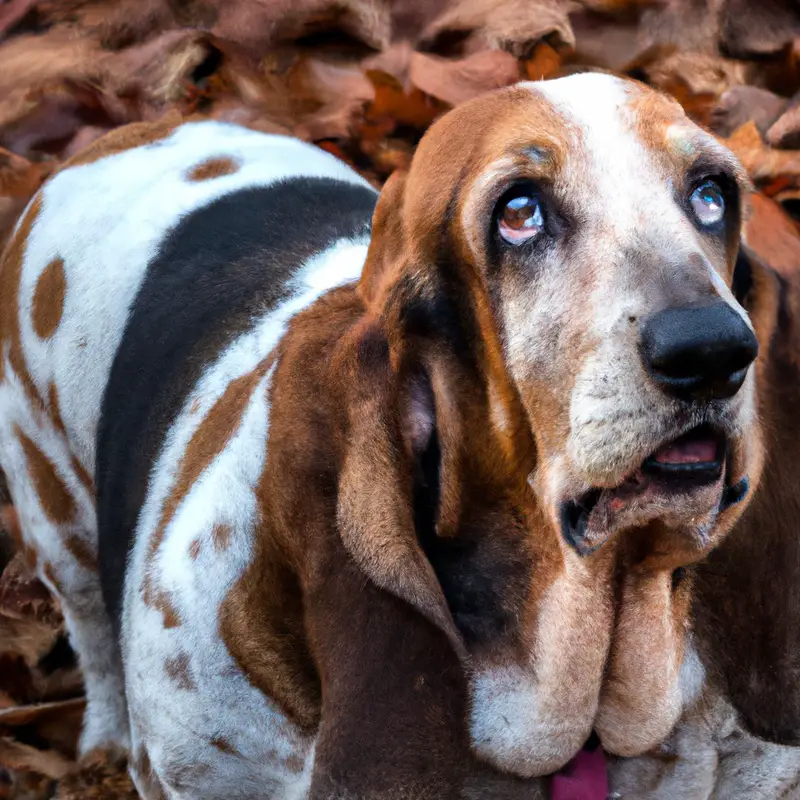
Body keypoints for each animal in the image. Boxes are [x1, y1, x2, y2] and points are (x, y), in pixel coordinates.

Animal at [0, 72, 764, 796]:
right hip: (53, 514)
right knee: (89, 628)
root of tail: (116, 139)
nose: (713, 351)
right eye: (518, 214)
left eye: (712, 195)